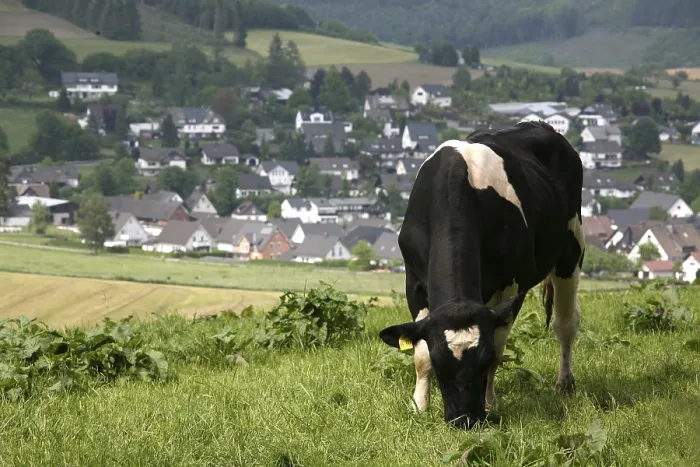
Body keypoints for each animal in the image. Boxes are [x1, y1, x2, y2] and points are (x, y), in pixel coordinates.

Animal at [379, 121, 585, 430]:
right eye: (441, 365)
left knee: (566, 323)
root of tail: (538, 124)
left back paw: (564, 383)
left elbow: (499, 347)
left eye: (482, 361)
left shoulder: (510, 285)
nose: (465, 420)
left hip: (572, 248)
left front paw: (490, 403)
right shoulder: (413, 282)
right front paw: (419, 407)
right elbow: (419, 352)